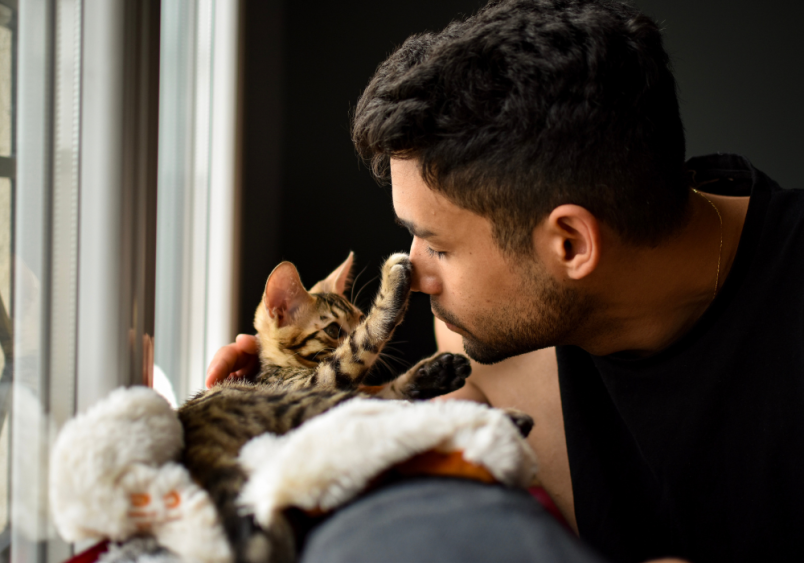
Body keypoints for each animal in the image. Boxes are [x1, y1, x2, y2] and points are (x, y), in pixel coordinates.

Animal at [177, 254, 472, 563]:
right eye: (333, 330)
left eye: (358, 317)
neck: (278, 366)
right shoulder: (321, 381)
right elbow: (360, 345)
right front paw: (393, 282)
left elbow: (385, 384)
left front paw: (436, 372)